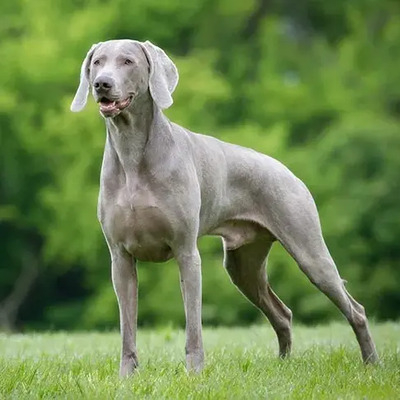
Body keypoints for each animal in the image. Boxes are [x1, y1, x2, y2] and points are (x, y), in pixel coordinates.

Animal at [70, 39, 380, 376]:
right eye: (97, 62)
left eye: (128, 61)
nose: (102, 84)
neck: (132, 152)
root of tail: (288, 171)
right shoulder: (120, 258)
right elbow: (128, 326)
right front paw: (127, 377)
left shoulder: (186, 252)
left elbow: (193, 323)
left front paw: (194, 373)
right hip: (243, 265)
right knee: (282, 313)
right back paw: (283, 365)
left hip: (309, 250)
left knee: (355, 309)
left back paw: (372, 362)